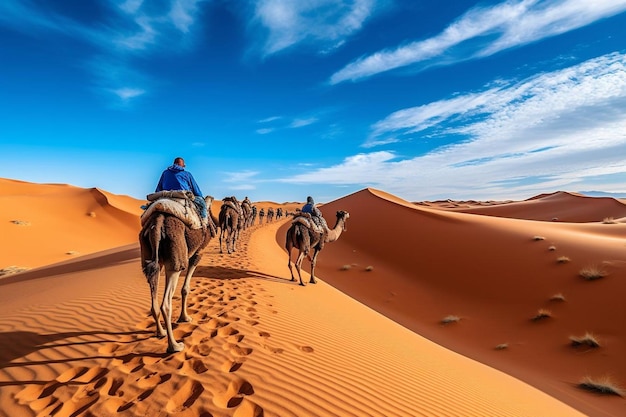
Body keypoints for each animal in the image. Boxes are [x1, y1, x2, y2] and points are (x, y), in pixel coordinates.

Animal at [138, 195, 213, 352]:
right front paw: (185, 318)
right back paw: (175, 346)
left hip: (151, 257)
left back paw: (161, 332)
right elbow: (185, 288)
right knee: (166, 303)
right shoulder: (198, 253)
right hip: (175, 259)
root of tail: (158, 221)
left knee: (154, 298)